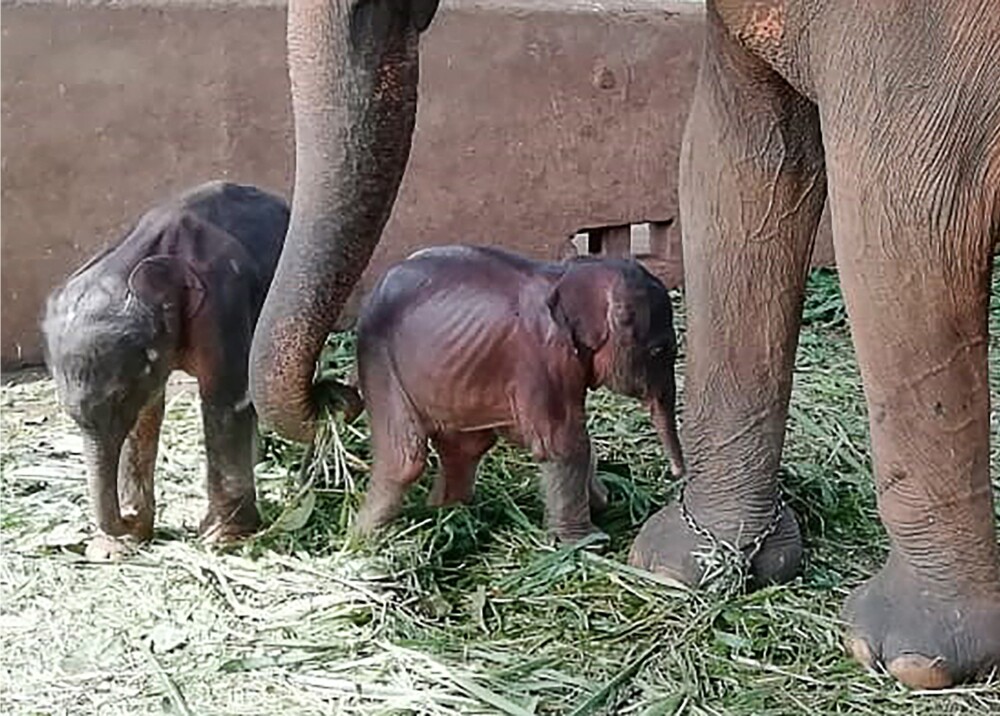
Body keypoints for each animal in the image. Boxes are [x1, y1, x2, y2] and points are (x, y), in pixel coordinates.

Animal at [44, 179, 292, 560]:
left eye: (120, 396)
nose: (126, 518)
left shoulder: (223, 302)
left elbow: (224, 397)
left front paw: (223, 540)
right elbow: (146, 414)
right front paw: (120, 547)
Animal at [352, 245, 688, 544]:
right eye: (660, 350)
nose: (677, 474)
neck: (571, 274)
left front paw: (602, 501)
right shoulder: (541, 359)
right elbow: (561, 442)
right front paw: (587, 541)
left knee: (466, 447)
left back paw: (449, 514)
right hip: (380, 361)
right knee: (405, 459)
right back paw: (365, 538)